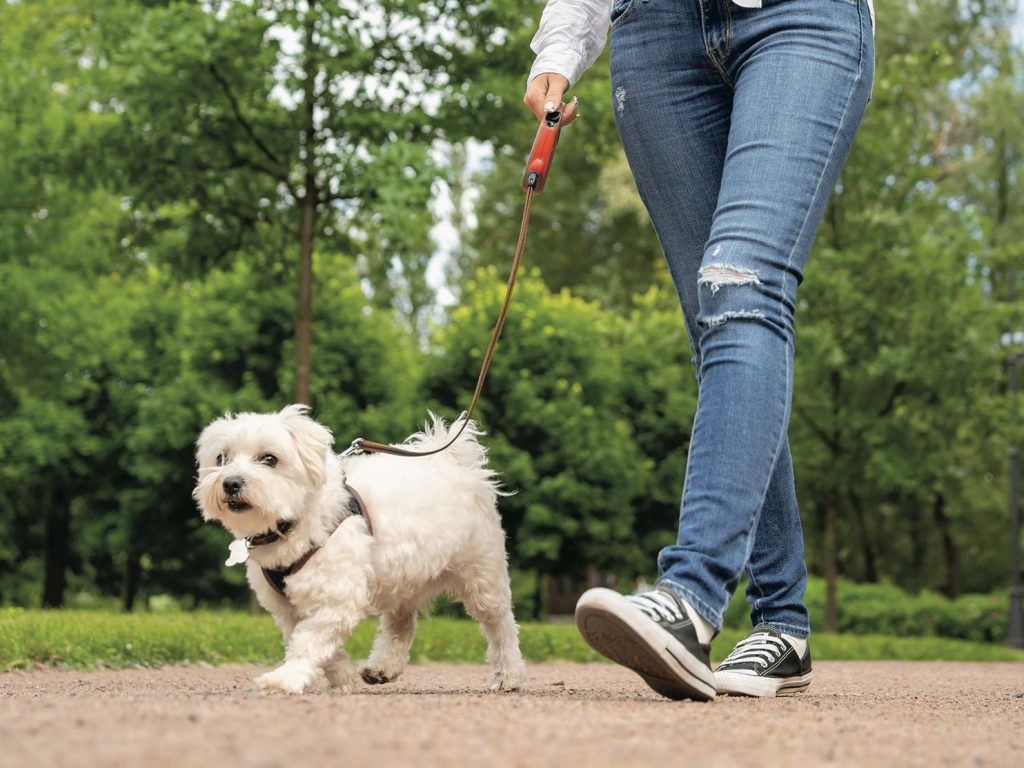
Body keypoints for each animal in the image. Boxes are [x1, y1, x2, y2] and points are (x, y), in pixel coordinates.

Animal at [192, 409, 528, 696]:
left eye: (270, 459)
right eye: (222, 458)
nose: (230, 482)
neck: (296, 523)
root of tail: (455, 464)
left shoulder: (336, 599)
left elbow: (309, 642)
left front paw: (284, 679)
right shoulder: (288, 609)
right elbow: (318, 646)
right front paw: (342, 676)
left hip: (482, 576)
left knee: (501, 626)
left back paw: (509, 675)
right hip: (402, 577)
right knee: (400, 626)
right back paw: (383, 667)